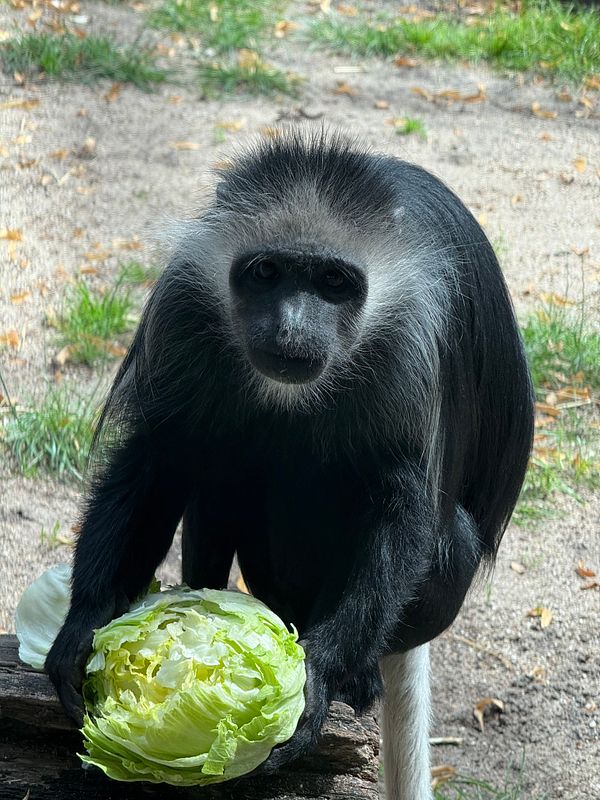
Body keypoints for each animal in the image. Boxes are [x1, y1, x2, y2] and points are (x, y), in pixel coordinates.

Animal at [46, 130, 534, 799]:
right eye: (266, 273)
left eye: (332, 282)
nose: (291, 328)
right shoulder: (184, 312)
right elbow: (157, 457)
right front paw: (86, 623)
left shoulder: (412, 347)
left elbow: (401, 509)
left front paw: (318, 678)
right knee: (219, 468)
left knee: (443, 534)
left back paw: (358, 675)